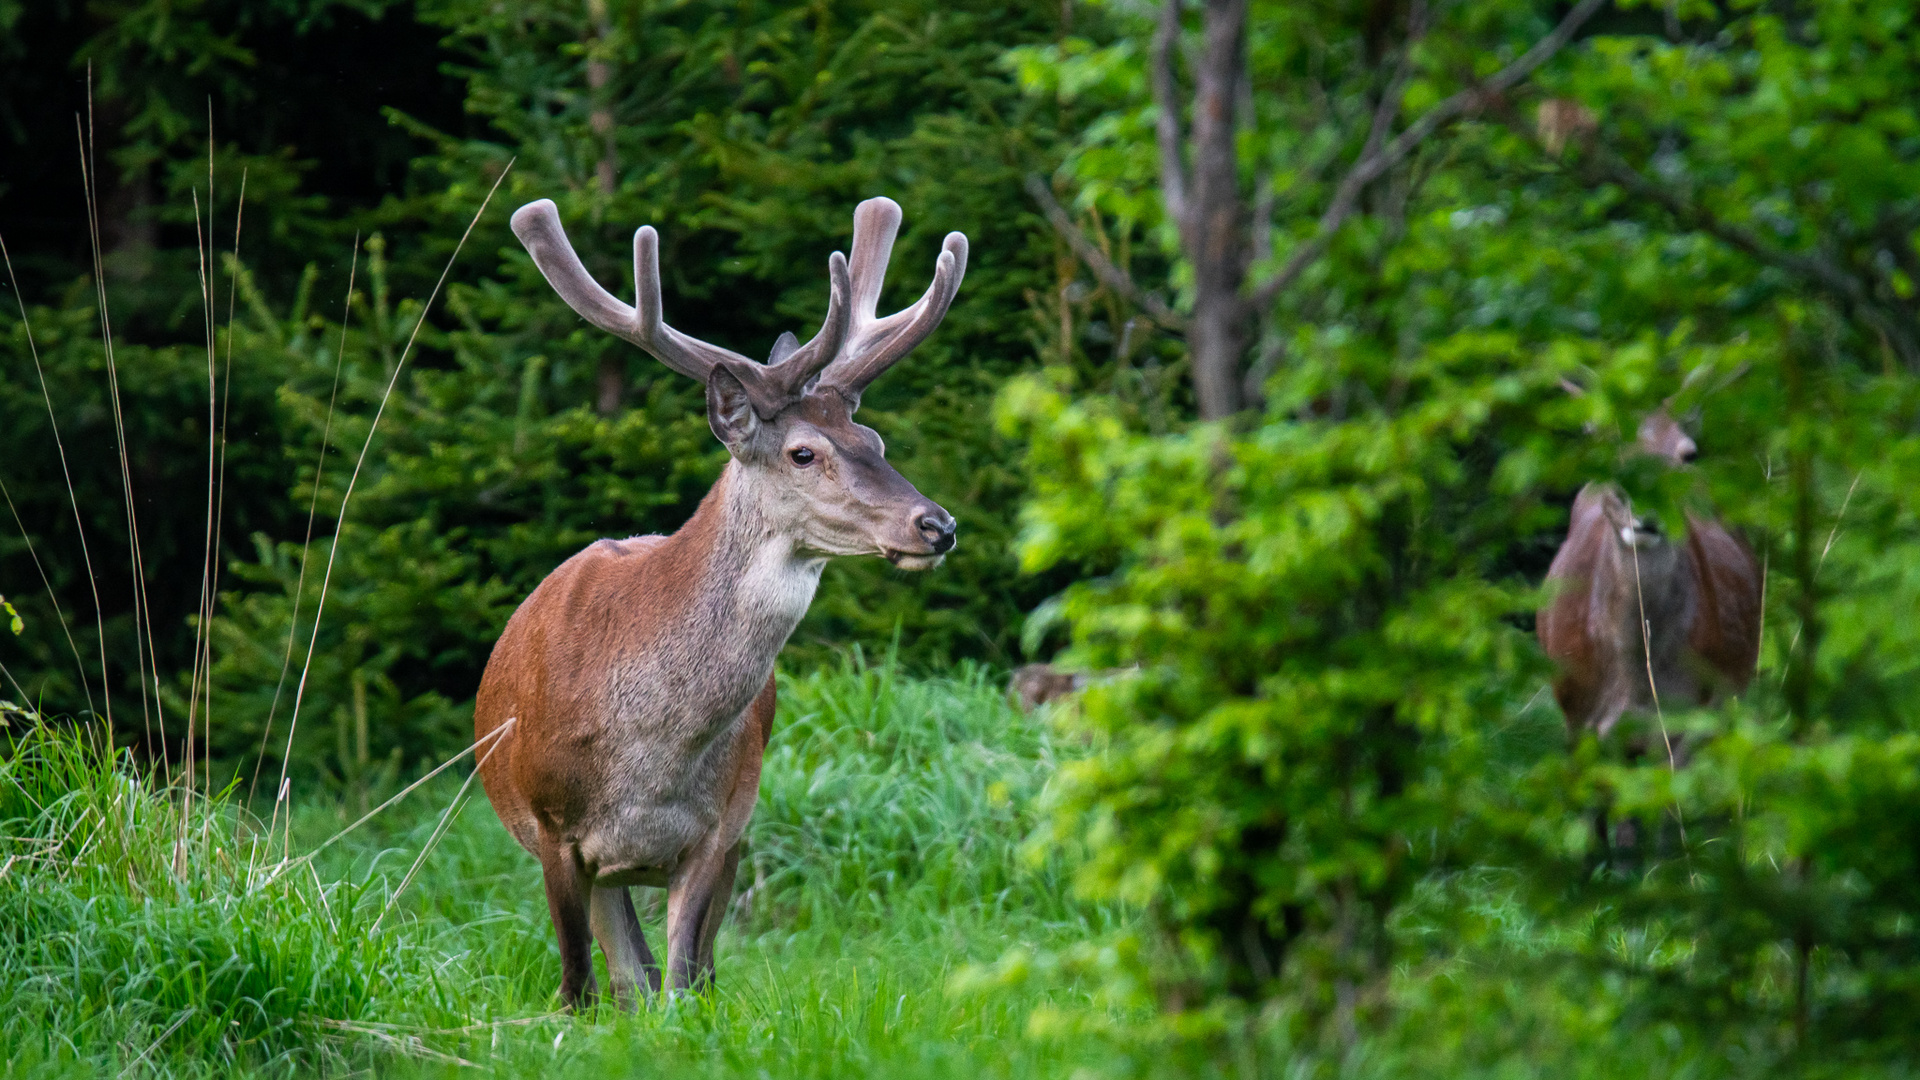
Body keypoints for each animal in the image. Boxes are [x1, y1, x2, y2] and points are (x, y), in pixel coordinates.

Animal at [474, 195, 967, 1006]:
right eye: (803, 452)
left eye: (874, 439)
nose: (937, 524)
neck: (646, 757)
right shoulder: (551, 828)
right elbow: (579, 987)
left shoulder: (718, 831)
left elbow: (682, 984)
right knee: (622, 977)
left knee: (676, 976)